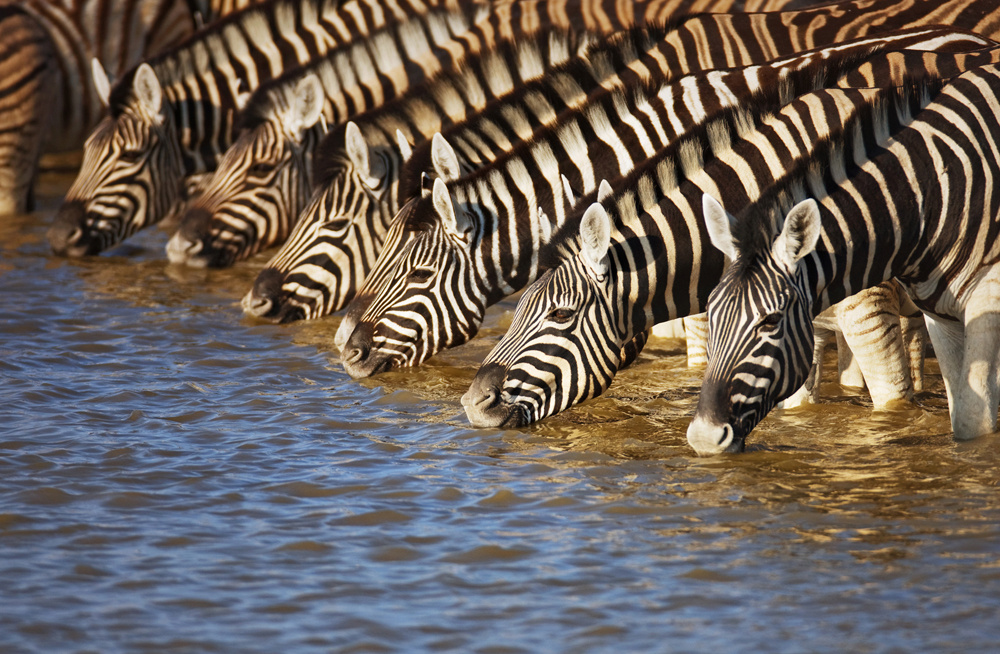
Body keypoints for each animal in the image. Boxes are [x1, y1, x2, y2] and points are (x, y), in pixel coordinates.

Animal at [459, 72, 954, 429]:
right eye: (518, 306)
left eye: (561, 314)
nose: (471, 404)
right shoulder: (791, 328)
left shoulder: (867, 313)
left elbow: (892, 405)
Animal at [687, 63, 1000, 455]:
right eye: (711, 312)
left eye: (771, 321)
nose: (703, 437)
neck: (930, 192)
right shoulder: (940, 315)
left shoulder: (985, 298)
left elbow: (973, 420)